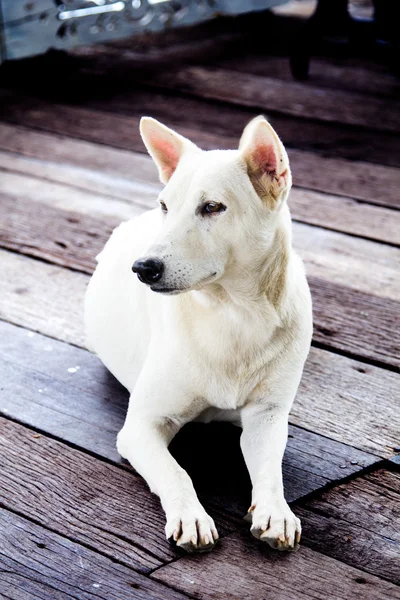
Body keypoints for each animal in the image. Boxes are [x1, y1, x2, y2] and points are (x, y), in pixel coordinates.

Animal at [85, 116, 312, 552]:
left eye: (212, 207)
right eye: (165, 206)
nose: (143, 268)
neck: (234, 314)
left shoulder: (268, 416)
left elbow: (270, 470)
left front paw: (275, 511)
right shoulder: (141, 426)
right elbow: (177, 472)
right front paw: (190, 516)